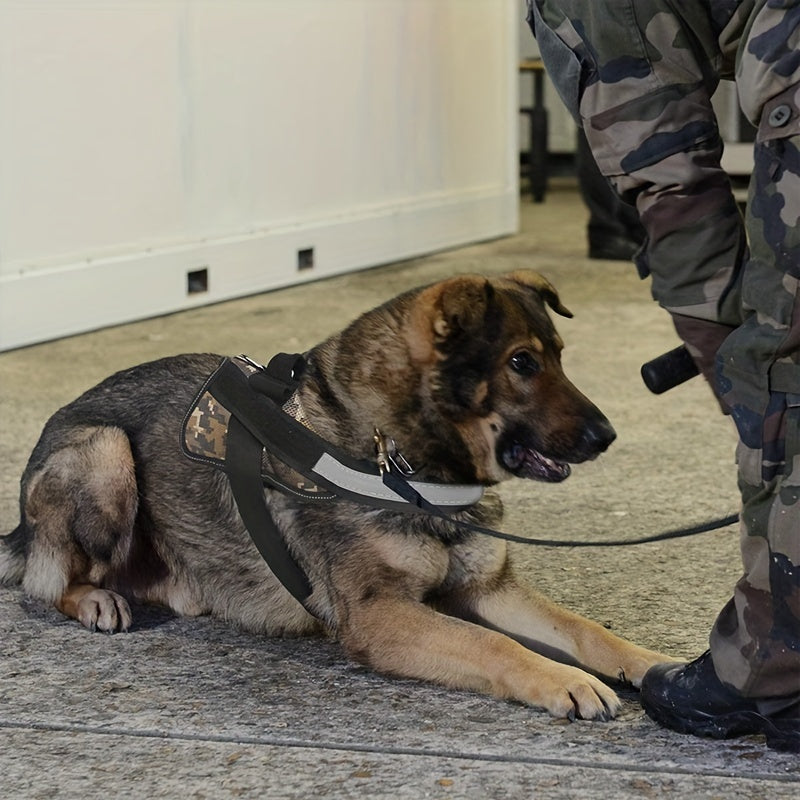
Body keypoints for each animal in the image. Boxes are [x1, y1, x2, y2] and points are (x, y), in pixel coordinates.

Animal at [1, 274, 668, 720]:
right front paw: (563, 680)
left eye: (559, 357)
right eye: (522, 362)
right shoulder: (380, 617)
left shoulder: (487, 591)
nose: (607, 436)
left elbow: (584, 629)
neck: (397, 457)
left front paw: (646, 662)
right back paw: (93, 598)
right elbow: (493, 642)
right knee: (48, 579)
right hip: (106, 452)